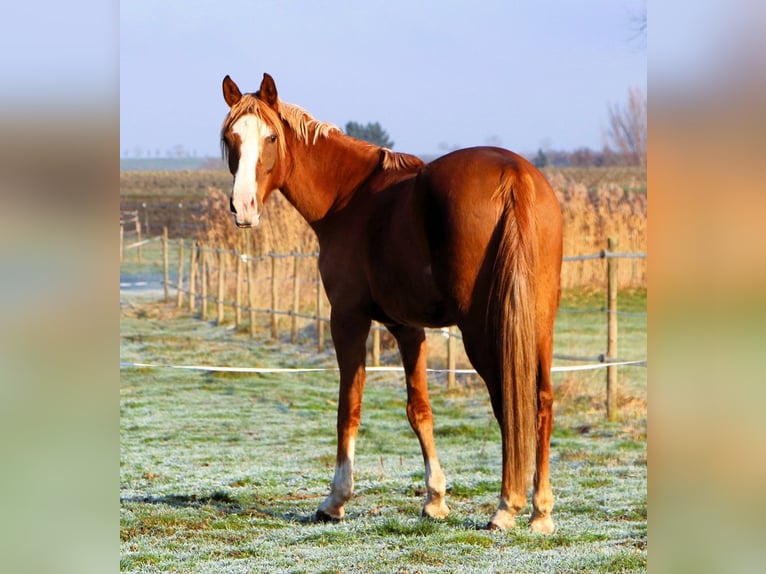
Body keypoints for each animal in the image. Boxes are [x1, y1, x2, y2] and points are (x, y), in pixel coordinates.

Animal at [219, 73, 562, 533]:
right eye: (231, 139)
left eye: (271, 137)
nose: (243, 207)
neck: (350, 196)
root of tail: (515, 174)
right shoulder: (407, 327)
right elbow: (419, 409)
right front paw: (435, 498)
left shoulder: (348, 318)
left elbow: (349, 405)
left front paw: (335, 500)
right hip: (539, 323)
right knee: (541, 401)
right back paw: (541, 511)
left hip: (483, 329)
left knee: (509, 402)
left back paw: (508, 505)